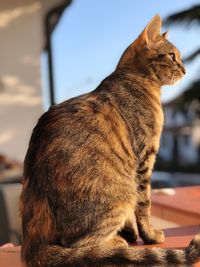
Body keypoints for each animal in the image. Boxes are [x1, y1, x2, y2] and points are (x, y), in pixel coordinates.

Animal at [19, 15, 199, 267]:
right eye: (172, 56)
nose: (184, 69)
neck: (136, 79)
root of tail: (32, 245)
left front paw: (131, 233)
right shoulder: (144, 158)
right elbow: (144, 205)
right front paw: (150, 236)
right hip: (120, 195)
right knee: (80, 246)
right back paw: (115, 242)